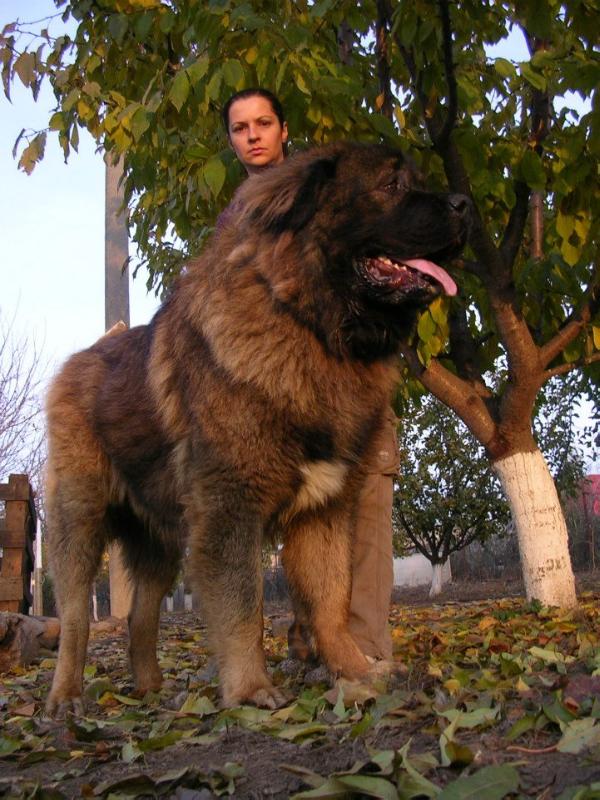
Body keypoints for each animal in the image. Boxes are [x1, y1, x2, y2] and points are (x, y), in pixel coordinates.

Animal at [45, 144, 468, 712]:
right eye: (392, 184)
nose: (466, 204)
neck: (309, 327)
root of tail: (78, 361)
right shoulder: (230, 508)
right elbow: (244, 605)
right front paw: (250, 689)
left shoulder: (323, 508)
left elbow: (330, 601)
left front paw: (356, 670)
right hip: (79, 521)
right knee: (73, 619)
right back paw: (65, 696)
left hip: (159, 542)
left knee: (141, 615)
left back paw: (152, 688)